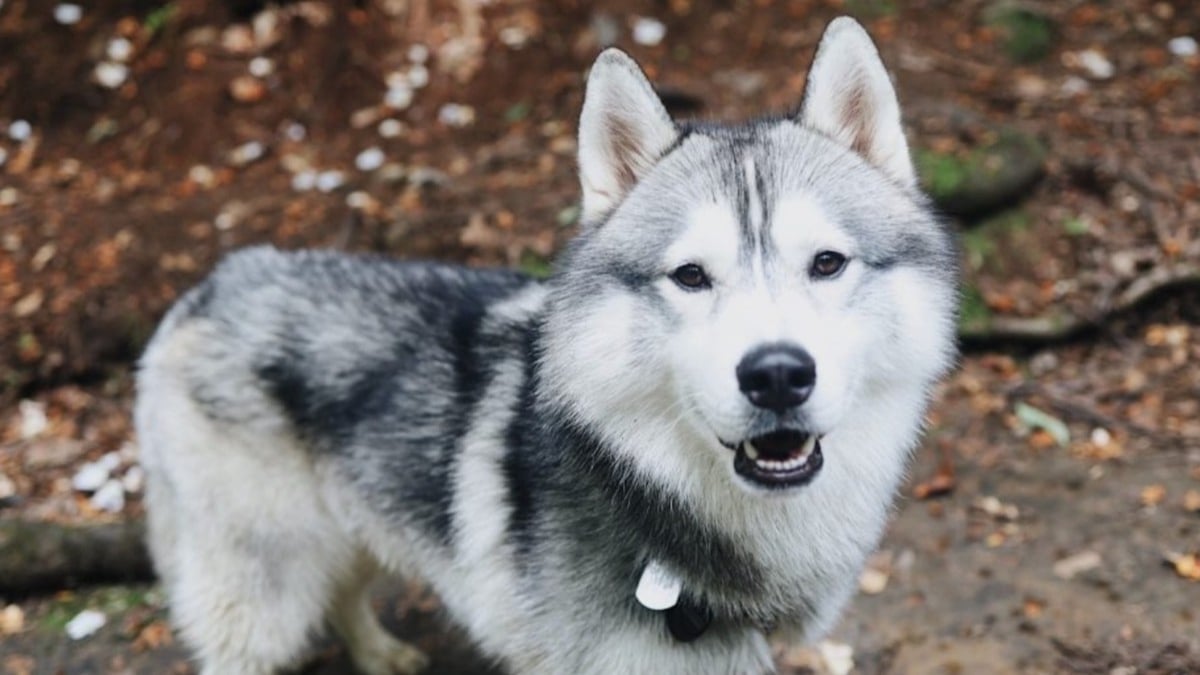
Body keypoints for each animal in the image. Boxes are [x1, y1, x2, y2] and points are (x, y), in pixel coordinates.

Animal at [133, 17, 955, 672]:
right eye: (690, 276)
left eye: (827, 263)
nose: (777, 374)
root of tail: (212, 283)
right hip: (262, 604)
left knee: (346, 596)